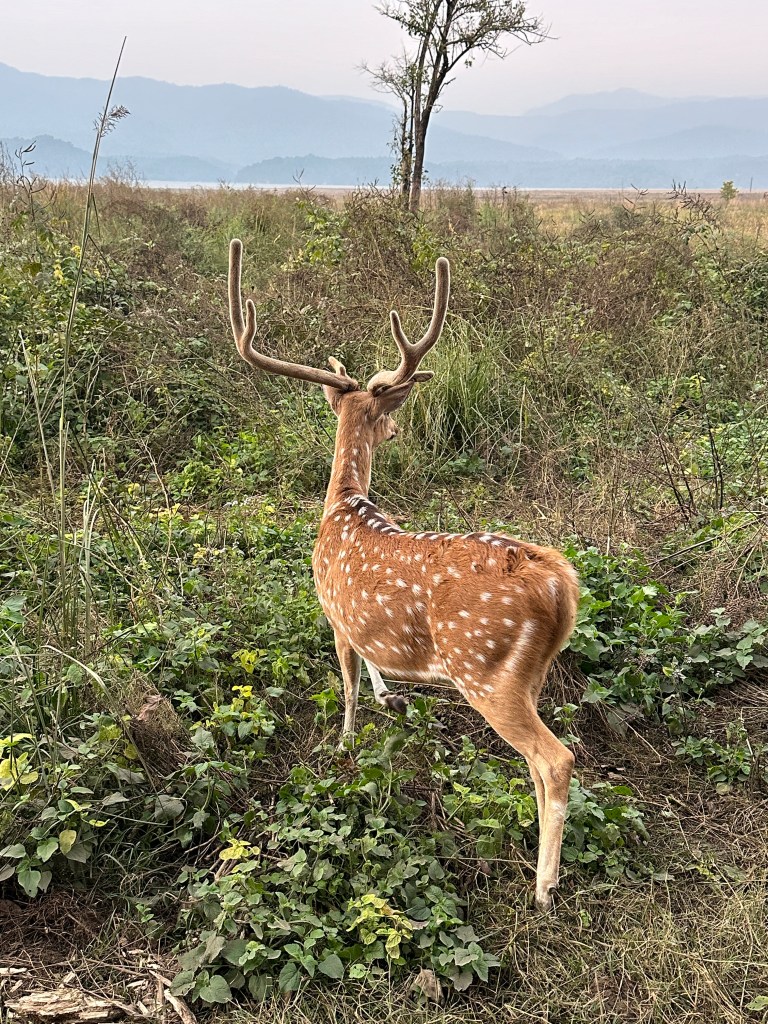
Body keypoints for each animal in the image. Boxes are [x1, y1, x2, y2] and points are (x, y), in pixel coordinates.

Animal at [228, 239, 580, 910]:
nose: (394, 426)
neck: (343, 507)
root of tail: (561, 587)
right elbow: (373, 663)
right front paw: (388, 692)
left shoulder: (333, 611)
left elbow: (345, 684)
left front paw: (343, 741)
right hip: (532, 674)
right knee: (539, 760)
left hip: (485, 669)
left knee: (556, 758)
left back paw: (544, 887)